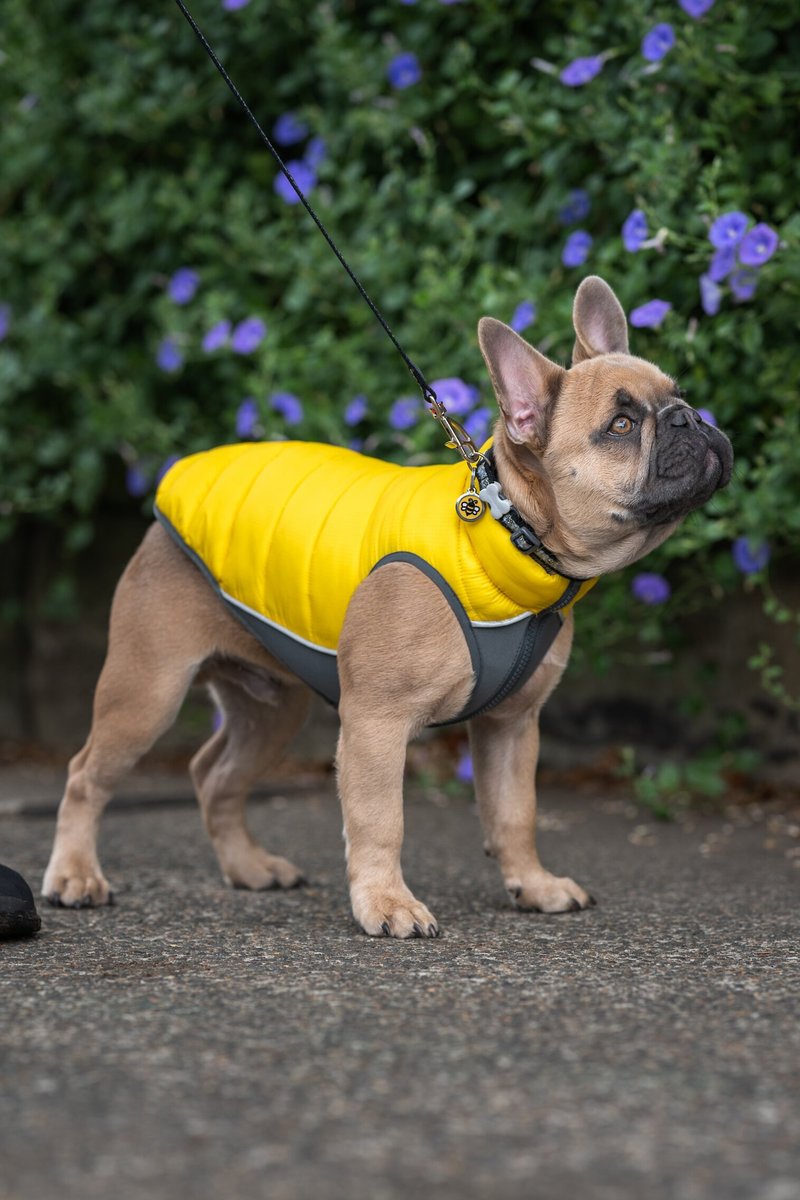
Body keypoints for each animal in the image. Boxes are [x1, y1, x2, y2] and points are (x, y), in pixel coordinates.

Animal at [42, 278, 734, 936]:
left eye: (680, 392)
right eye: (621, 426)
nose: (687, 417)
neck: (506, 534)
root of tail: (175, 485)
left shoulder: (512, 727)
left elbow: (516, 813)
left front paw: (534, 886)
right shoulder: (376, 723)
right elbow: (381, 821)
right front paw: (386, 903)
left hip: (274, 706)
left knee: (215, 775)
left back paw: (248, 867)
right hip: (148, 691)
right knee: (85, 774)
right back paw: (75, 875)